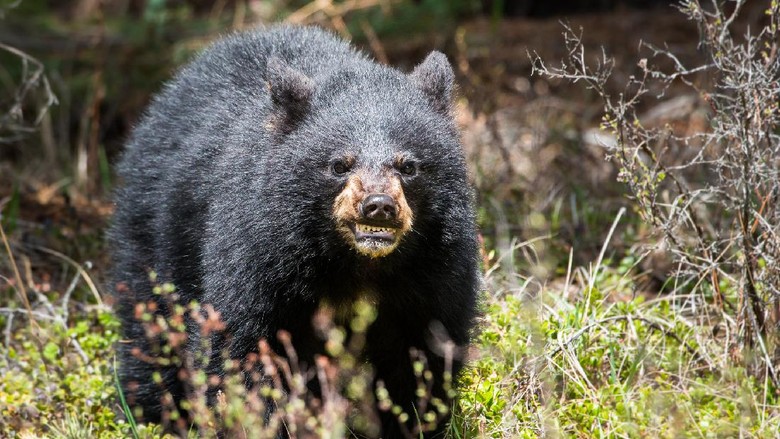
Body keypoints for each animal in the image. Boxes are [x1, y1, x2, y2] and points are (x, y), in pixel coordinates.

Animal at [111, 25, 482, 438]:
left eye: (409, 165)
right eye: (339, 164)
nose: (379, 205)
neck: (356, 264)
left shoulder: (435, 267)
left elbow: (424, 354)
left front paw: (414, 422)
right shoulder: (257, 251)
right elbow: (246, 347)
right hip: (155, 230)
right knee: (149, 329)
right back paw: (148, 414)